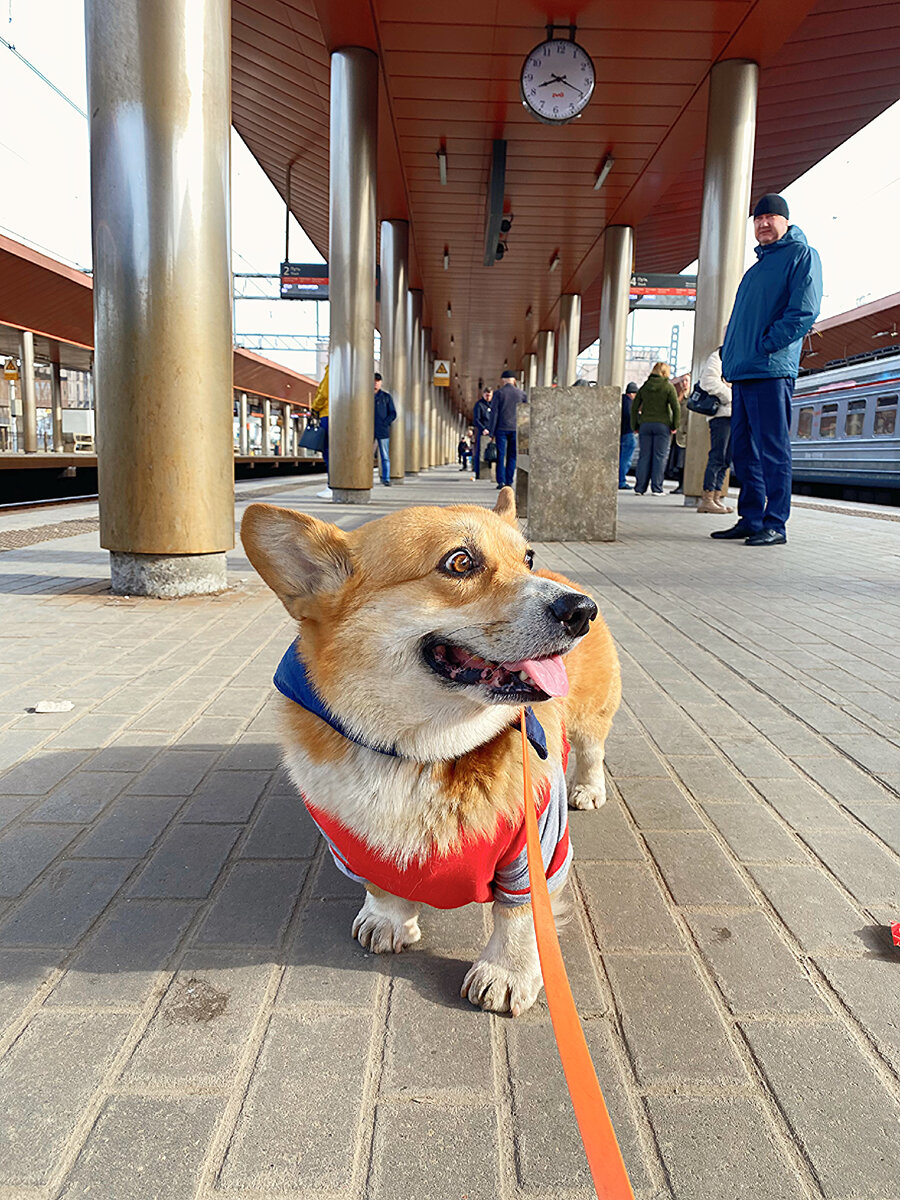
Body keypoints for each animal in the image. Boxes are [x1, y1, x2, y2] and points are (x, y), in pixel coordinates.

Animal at [240, 487, 619, 1012]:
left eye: (526, 558)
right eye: (459, 562)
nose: (582, 610)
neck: (418, 752)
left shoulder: (538, 844)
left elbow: (519, 915)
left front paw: (506, 972)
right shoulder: (353, 843)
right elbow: (381, 886)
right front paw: (387, 920)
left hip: (589, 716)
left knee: (592, 750)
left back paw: (588, 788)